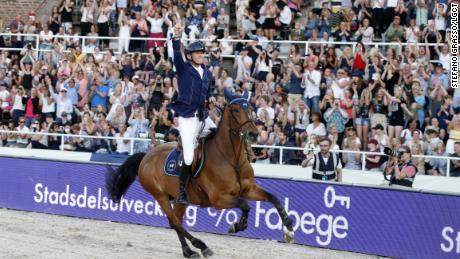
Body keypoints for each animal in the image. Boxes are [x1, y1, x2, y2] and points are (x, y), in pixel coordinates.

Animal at [106, 89, 294, 258]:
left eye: (252, 109)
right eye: (236, 110)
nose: (254, 134)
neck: (232, 160)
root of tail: (146, 156)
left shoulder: (249, 190)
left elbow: (274, 198)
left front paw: (289, 228)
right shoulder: (219, 199)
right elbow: (245, 206)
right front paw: (237, 226)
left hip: (180, 200)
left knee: (176, 222)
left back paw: (188, 251)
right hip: (160, 196)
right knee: (175, 222)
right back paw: (200, 246)